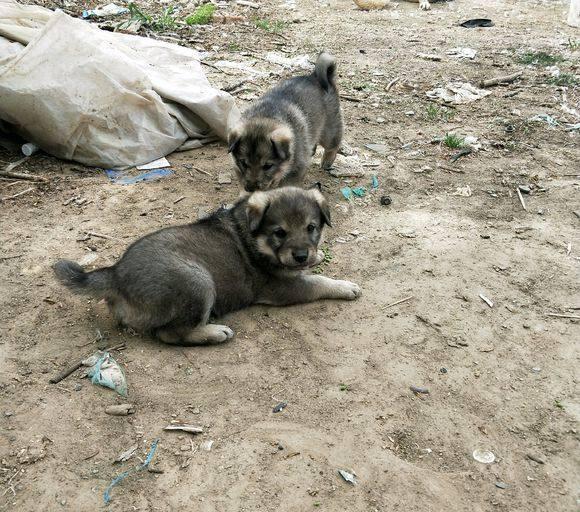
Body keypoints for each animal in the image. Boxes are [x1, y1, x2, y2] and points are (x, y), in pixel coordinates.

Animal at [228, 52, 344, 192]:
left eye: (267, 166)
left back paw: (327, 161)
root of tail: (315, 76)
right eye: (244, 163)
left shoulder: (296, 171)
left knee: (333, 145)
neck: (266, 116)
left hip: (329, 131)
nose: (251, 189)